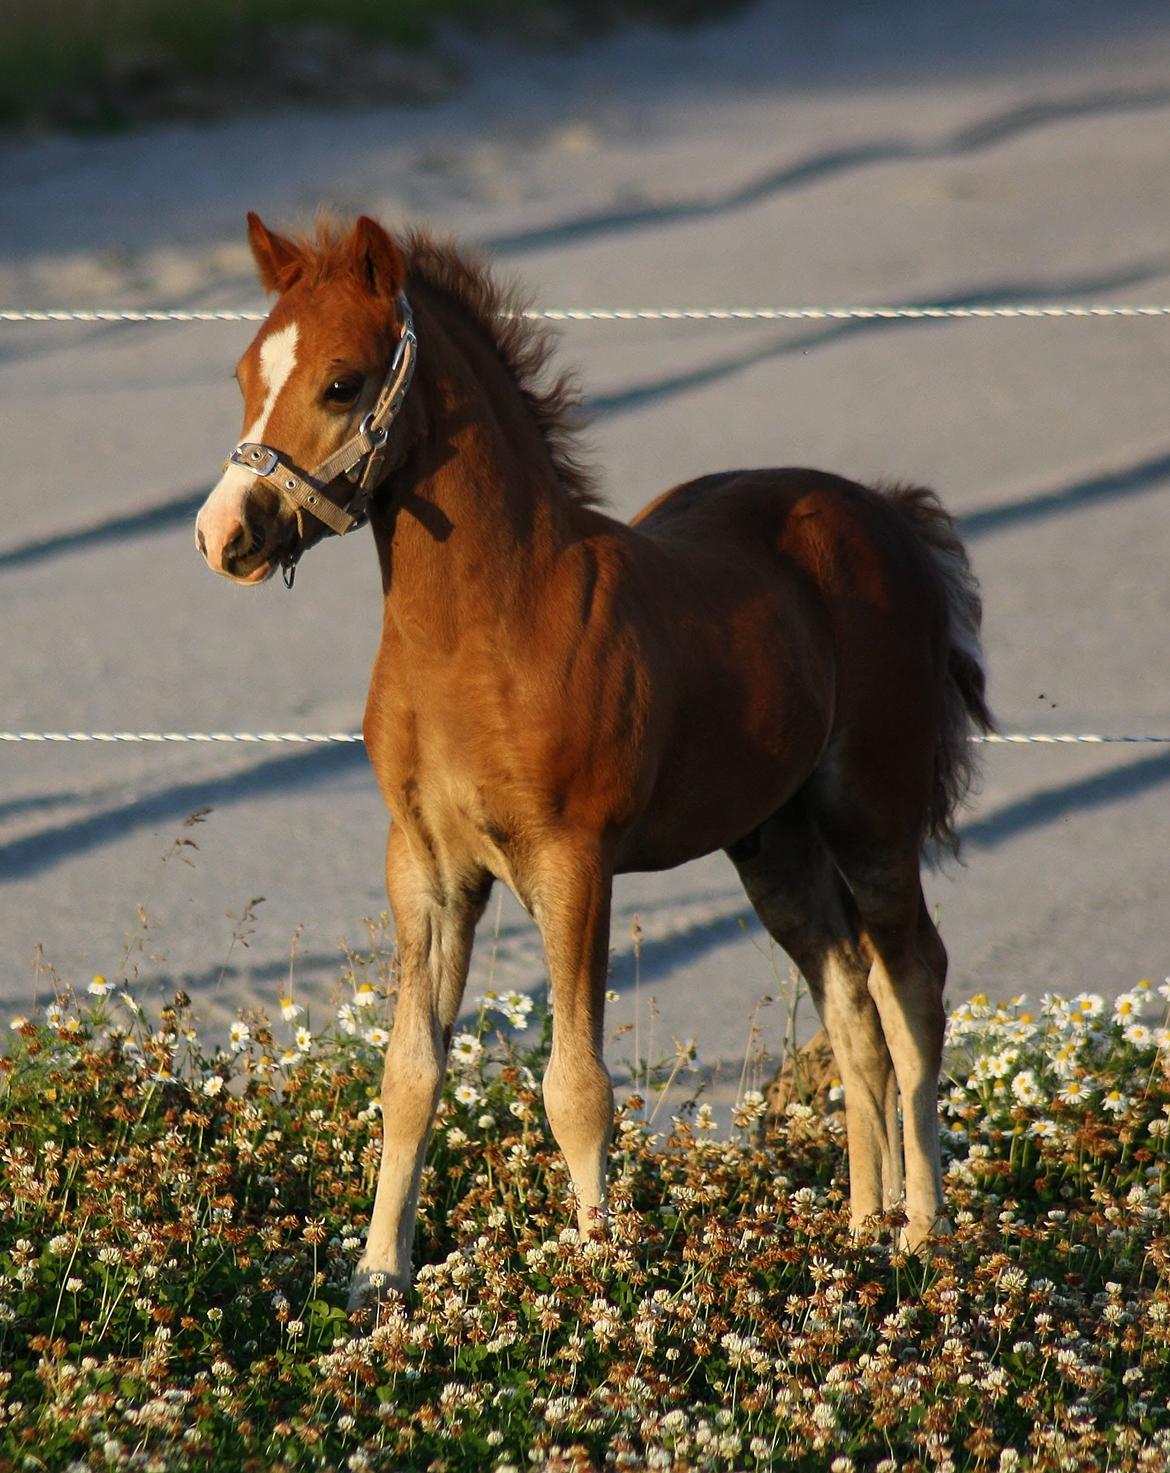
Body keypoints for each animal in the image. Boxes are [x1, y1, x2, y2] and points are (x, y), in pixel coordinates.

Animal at [195, 210, 990, 1302]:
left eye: (344, 382)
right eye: (243, 372)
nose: (223, 533)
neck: (482, 633)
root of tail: (888, 516)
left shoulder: (573, 862)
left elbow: (577, 1083)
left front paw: (597, 1270)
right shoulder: (426, 867)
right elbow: (408, 1073)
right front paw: (377, 1280)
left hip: (871, 811)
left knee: (915, 989)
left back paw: (921, 1230)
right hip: (773, 844)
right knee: (850, 1007)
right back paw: (859, 1231)